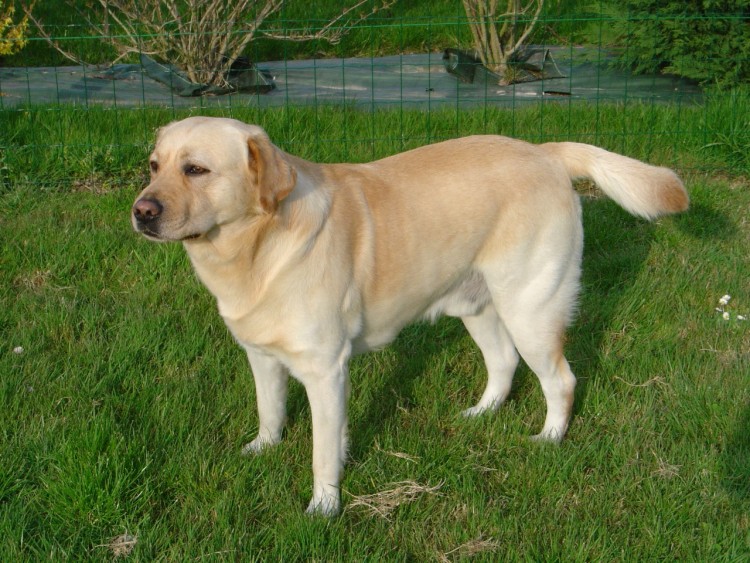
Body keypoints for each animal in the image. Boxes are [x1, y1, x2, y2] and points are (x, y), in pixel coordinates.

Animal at [131, 117, 688, 516]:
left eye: (196, 169)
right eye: (154, 166)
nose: (141, 212)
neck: (256, 249)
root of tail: (545, 151)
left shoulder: (324, 370)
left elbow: (320, 450)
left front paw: (324, 506)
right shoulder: (263, 357)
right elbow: (272, 413)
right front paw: (263, 450)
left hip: (531, 307)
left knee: (561, 379)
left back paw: (549, 439)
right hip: (476, 305)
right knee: (503, 363)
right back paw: (482, 413)